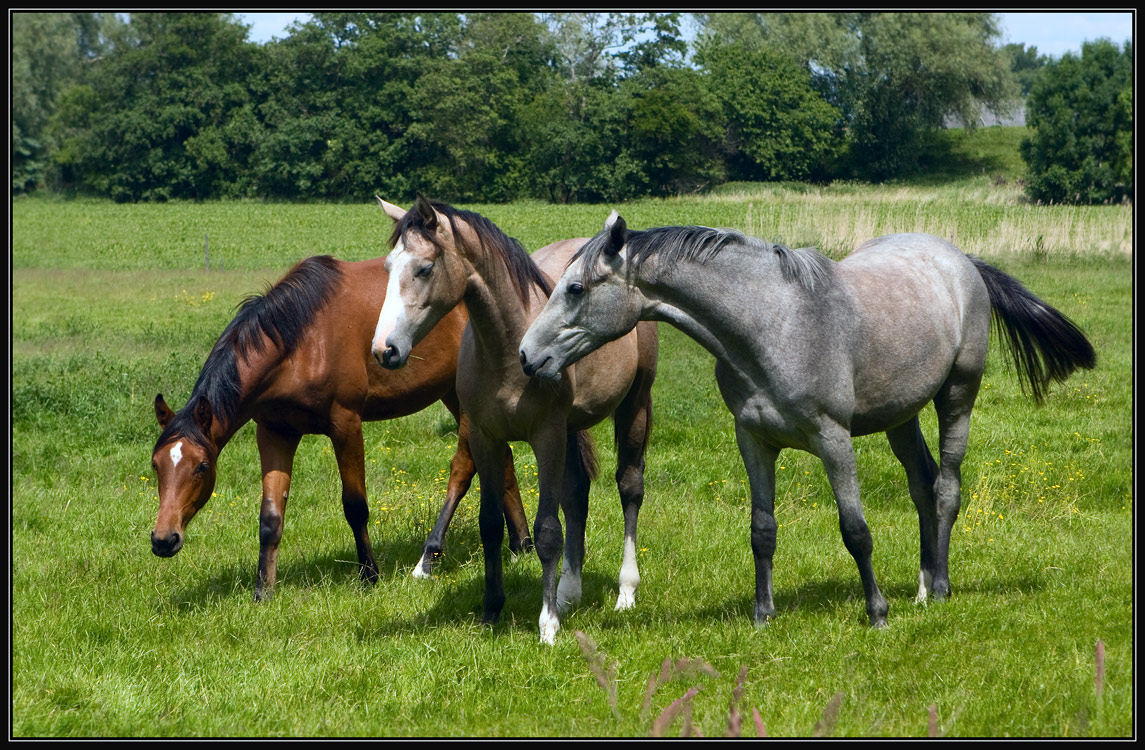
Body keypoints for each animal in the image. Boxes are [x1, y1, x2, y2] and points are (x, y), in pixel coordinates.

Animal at [149, 254, 524, 600]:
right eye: (155, 465)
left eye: (202, 466)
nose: (163, 539)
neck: (301, 339)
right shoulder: (274, 432)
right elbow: (270, 517)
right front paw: (263, 591)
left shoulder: (346, 424)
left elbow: (355, 506)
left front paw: (369, 575)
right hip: (454, 395)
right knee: (502, 459)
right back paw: (521, 544)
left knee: (463, 468)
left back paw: (429, 559)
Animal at [370, 196, 659, 641]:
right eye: (387, 267)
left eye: (425, 268)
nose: (385, 350)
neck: (508, 347)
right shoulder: (485, 437)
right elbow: (490, 524)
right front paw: (492, 609)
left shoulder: (546, 436)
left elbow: (547, 531)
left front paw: (547, 625)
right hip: (571, 429)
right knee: (577, 493)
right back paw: (569, 592)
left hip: (634, 407)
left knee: (629, 487)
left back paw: (625, 592)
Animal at [519, 214, 1090, 632]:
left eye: (575, 288)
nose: (526, 355)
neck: (773, 324)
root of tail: (960, 260)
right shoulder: (753, 440)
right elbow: (762, 531)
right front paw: (762, 615)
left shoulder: (832, 439)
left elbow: (856, 530)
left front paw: (877, 613)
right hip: (900, 417)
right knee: (922, 485)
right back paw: (924, 586)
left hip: (957, 398)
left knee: (947, 487)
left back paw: (942, 588)